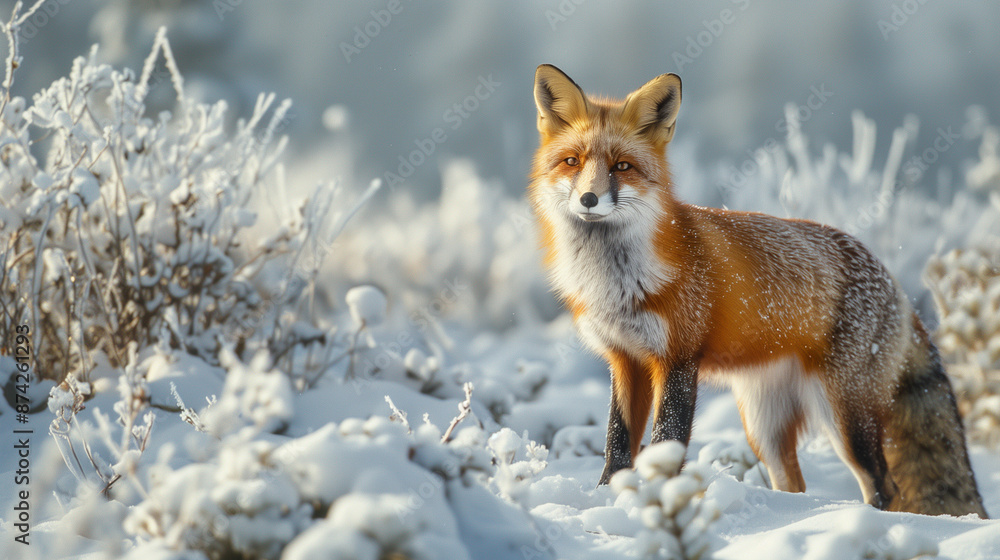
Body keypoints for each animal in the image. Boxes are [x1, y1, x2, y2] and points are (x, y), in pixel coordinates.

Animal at [528, 64, 987, 517]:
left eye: (622, 166)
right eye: (572, 161)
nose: (589, 199)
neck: (617, 282)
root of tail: (895, 284)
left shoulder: (678, 359)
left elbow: (665, 443)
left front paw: (660, 502)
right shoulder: (625, 359)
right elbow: (617, 443)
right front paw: (608, 498)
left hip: (843, 415)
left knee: (884, 485)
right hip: (763, 424)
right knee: (795, 483)